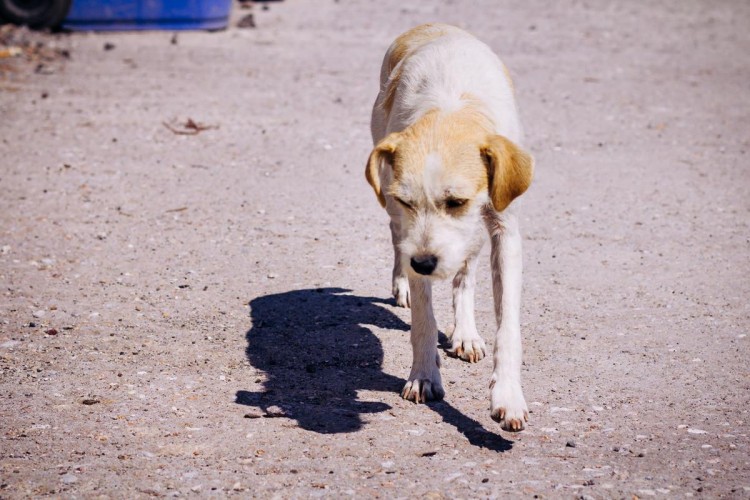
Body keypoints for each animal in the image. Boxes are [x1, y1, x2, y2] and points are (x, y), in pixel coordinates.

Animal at [366, 22, 536, 430]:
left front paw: (508, 396)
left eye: (456, 202)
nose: (425, 264)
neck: (451, 113)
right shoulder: (407, 224)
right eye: (408, 201)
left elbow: (507, 326)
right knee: (397, 241)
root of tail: (433, 25)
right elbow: (423, 319)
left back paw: (466, 333)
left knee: (466, 271)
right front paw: (424, 376)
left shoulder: (505, 231)